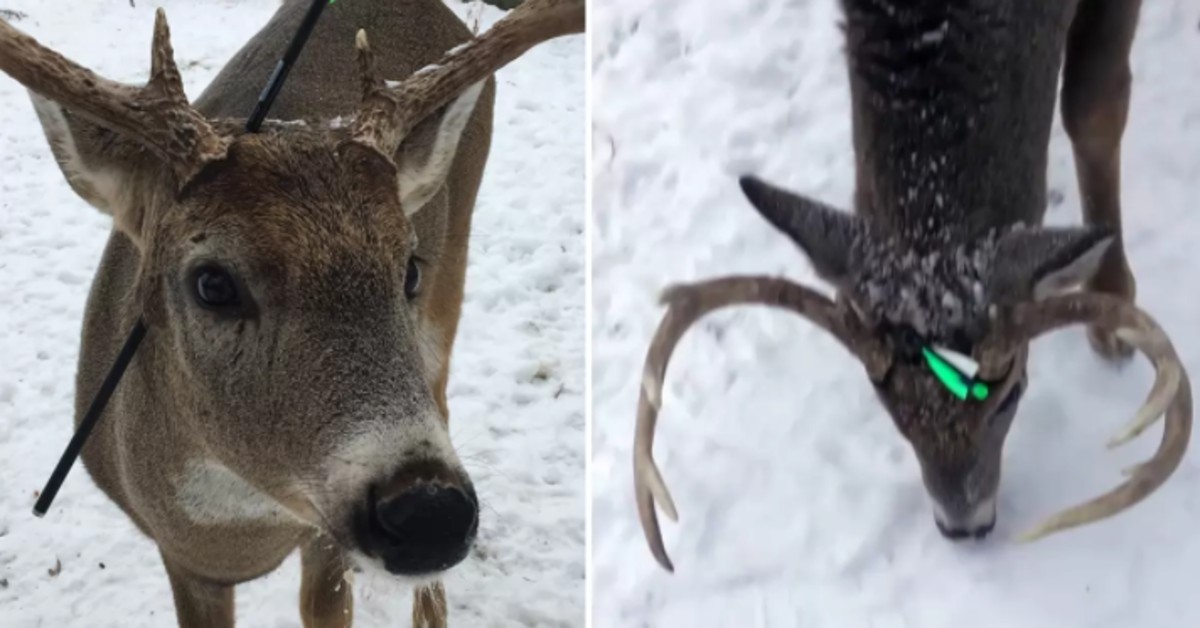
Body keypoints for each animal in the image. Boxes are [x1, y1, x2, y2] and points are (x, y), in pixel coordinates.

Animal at [0, 0, 580, 624]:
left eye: (409, 269)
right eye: (212, 283)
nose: (430, 513)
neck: (245, 533)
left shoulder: (321, 540)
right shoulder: (184, 560)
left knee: (442, 396)